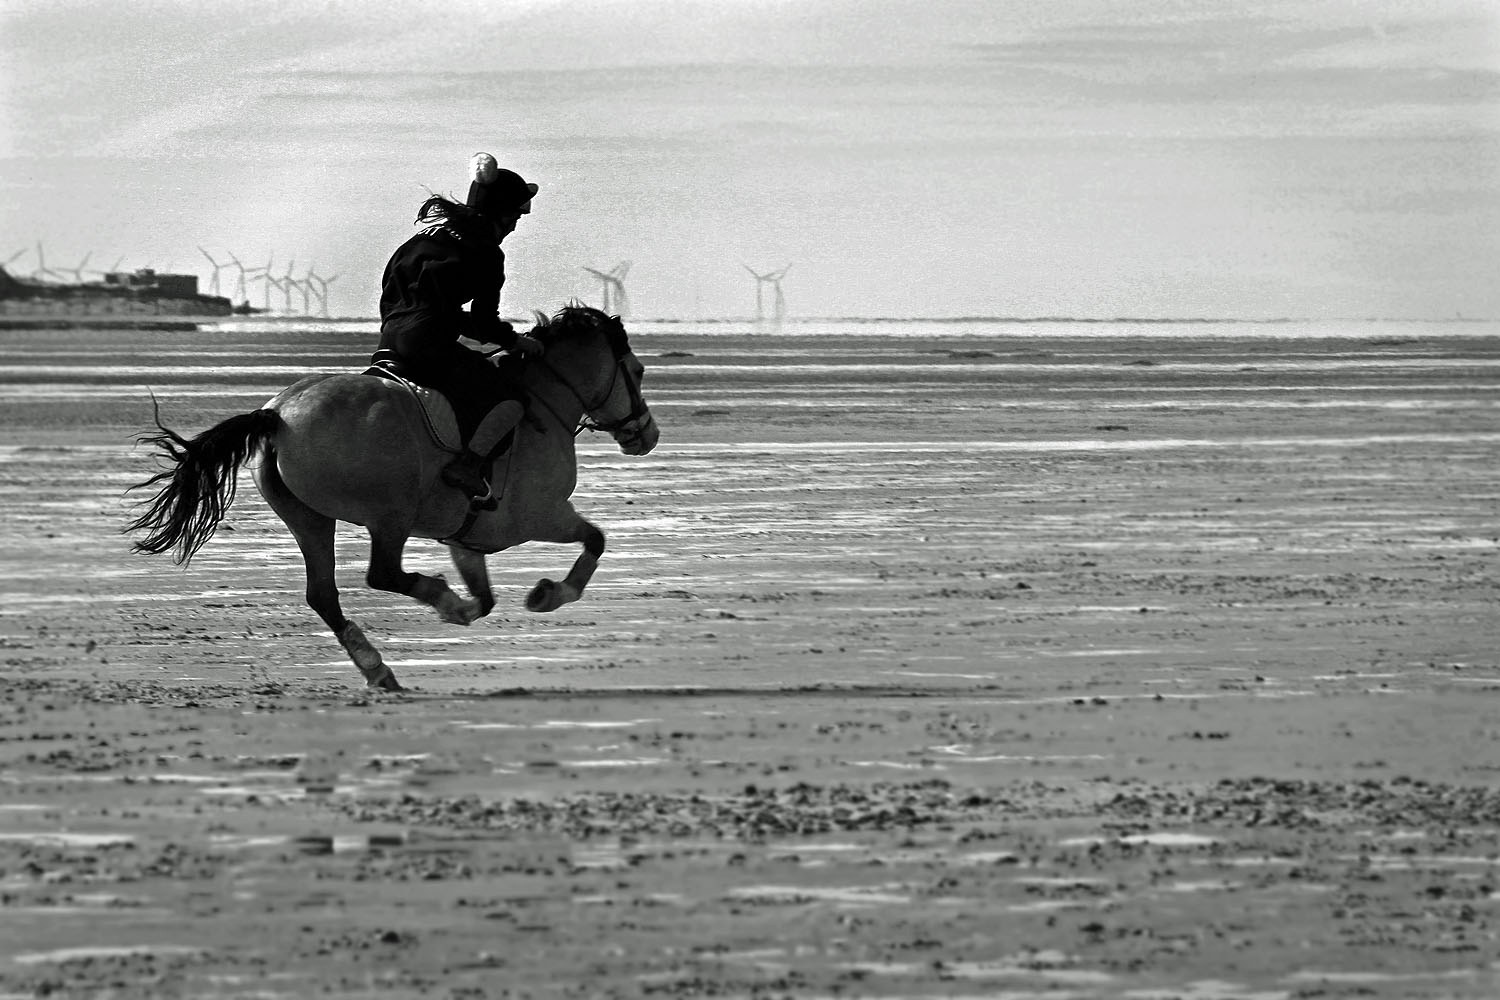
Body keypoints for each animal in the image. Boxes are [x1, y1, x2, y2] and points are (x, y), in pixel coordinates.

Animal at [130, 305, 663, 692]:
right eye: (636, 372)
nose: (647, 435)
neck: (545, 405)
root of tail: (279, 414)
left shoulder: (467, 538)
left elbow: (486, 598)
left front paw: (469, 610)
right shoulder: (542, 516)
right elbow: (594, 540)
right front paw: (547, 595)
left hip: (309, 518)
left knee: (324, 594)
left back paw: (379, 667)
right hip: (391, 514)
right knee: (381, 574)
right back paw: (437, 600)